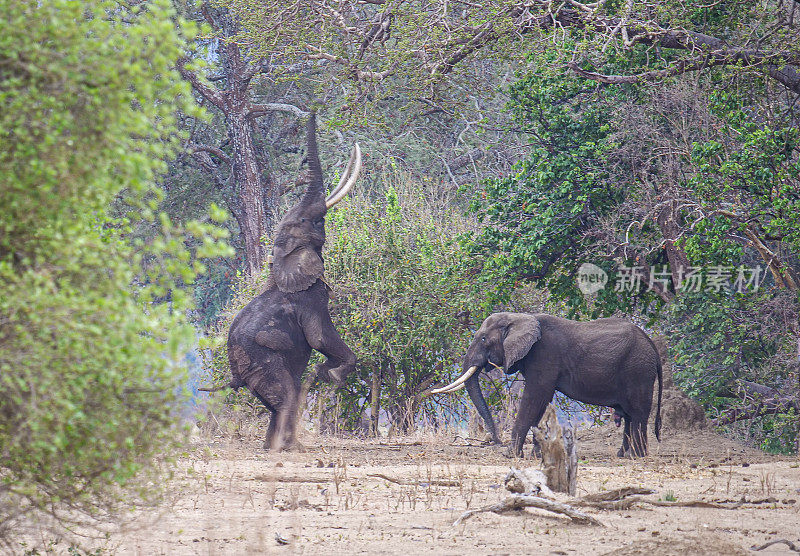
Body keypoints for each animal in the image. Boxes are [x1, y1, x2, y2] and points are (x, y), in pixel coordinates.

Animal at [432, 310, 664, 458]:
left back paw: (637, 456)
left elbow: (535, 397)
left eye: (482, 339)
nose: (495, 441)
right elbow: (541, 402)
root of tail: (651, 344)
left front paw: (510, 455)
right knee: (628, 414)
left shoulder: (544, 355)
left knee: (637, 412)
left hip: (638, 370)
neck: (520, 317)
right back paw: (623, 455)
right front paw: (535, 455)